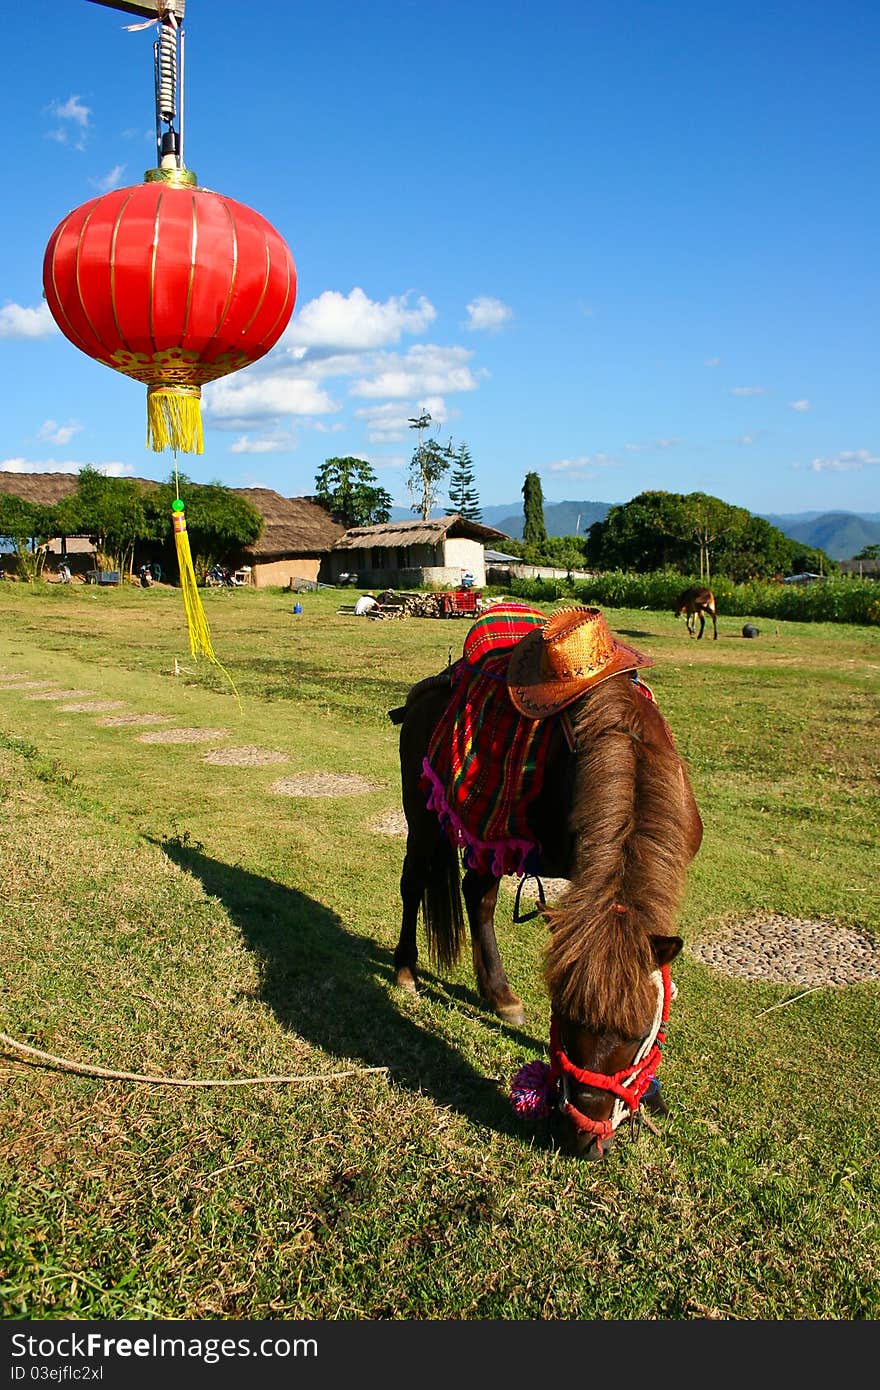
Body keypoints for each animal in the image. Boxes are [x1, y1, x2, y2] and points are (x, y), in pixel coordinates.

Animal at [386, 625, 703, 1156]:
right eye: (563, 1015)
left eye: (639, 1031)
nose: (583, 1138)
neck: (628, 747)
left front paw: (652, 1096)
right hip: (423, 811)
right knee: (415, 883)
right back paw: (406, 970)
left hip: (486, 834)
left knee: (478, 895)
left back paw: (499, 995)